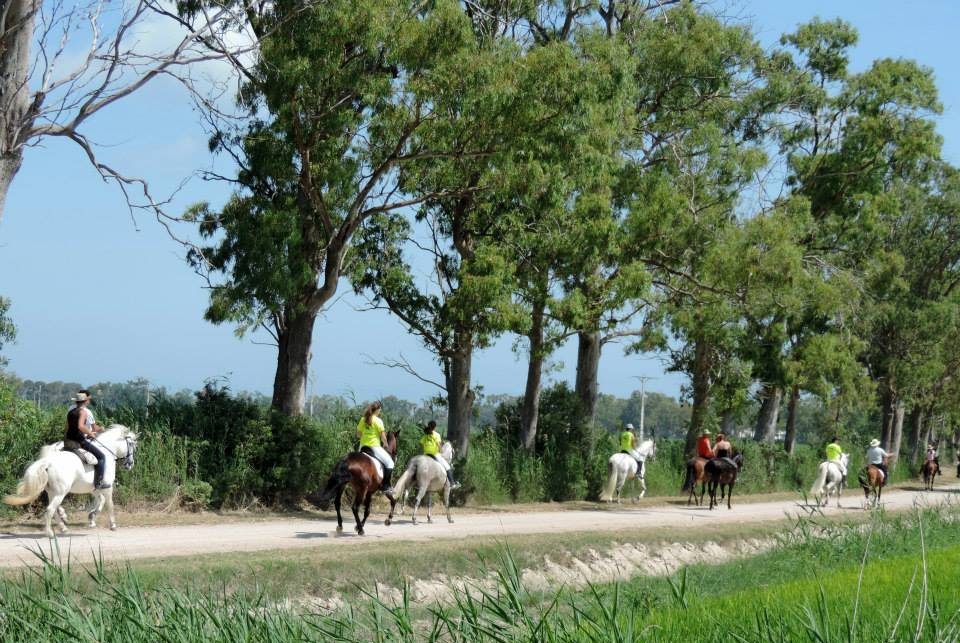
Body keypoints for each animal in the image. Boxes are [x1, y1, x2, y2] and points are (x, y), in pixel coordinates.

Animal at [1, 422, 138, 540]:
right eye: (131, 444)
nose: (130, 464)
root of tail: (48, 462)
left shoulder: (94, 488)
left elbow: (101, 501)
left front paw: (91, 518)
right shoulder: (107, 487)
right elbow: (110, 504)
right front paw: (112, 525)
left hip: (52, 492)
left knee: (54, 510)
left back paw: (63, 527)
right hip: (60, 493)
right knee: (50, 510)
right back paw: (50, 533)